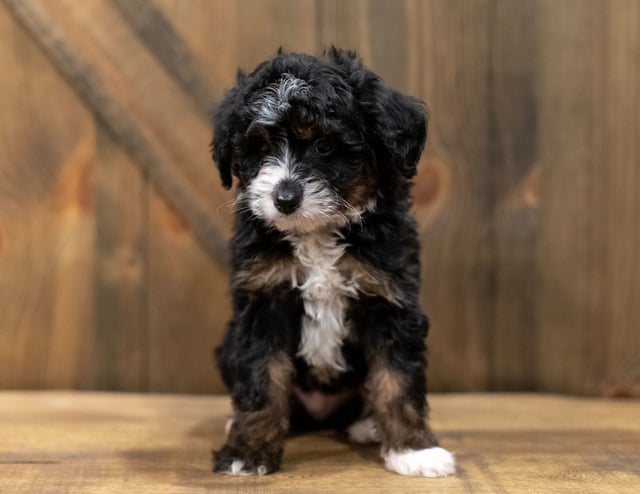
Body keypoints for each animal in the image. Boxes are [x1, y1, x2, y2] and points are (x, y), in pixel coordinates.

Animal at [210, 48, 456, 476]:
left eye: (325, 146)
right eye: (259, 148)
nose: (284, 199)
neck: (317, 233)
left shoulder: (389, 298)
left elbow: (397, 379)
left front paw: (414, 450)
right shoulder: (264, 299)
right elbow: (262, 377)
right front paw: (248, 450)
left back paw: (368, 425)